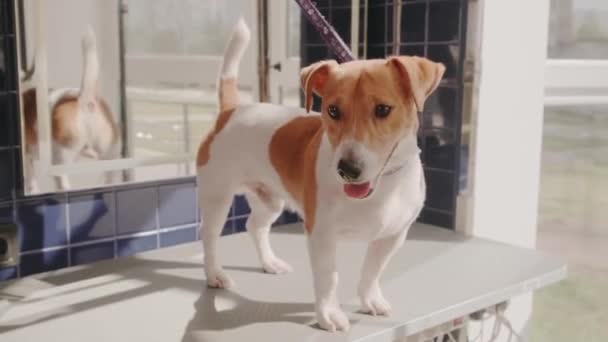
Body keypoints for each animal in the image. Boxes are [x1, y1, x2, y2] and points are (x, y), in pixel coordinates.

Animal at [197, 18, 444, 332]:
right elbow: (328, 278)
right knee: (209, 236)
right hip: (217, 197)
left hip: (269, 200)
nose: (347, 170)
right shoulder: (322, 234)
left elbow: (372, 271)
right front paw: (329, 314)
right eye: (333, 110)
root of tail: (231, 110)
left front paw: (370, 300)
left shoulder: (392, 236)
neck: (381, 190)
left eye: (383, 109)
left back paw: (270, 262)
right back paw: (214, 274)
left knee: (255, 226)